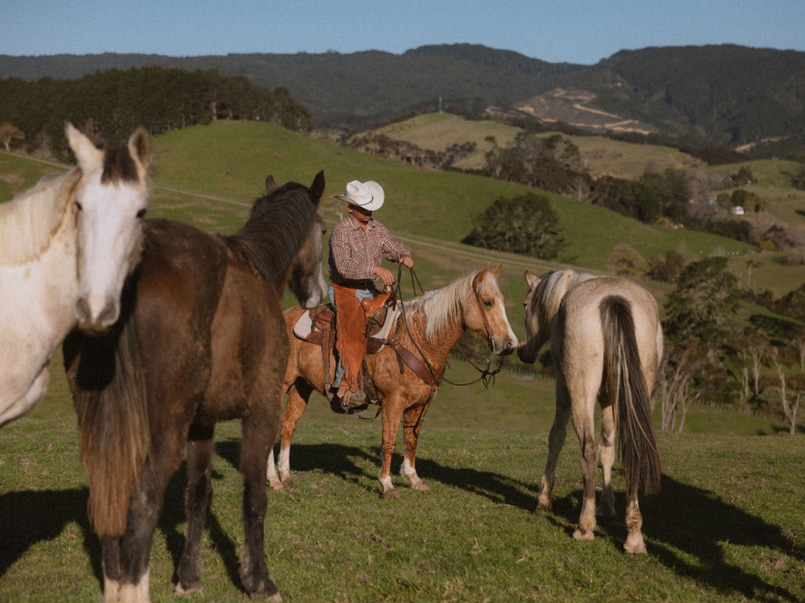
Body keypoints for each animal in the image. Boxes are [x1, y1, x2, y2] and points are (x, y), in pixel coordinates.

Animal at [63, 171, 327, 602]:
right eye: (322, 229)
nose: (318, 294)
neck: (257, 273)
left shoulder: (201, 425)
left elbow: (198, 496)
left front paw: (188, 576)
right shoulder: (262, 412)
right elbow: (255, 496)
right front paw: (259, 580)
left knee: (109, 495)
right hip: (163, 430)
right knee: (142, 503)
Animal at [267, 265, 518, 499]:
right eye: (487, 302)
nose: (510, 344)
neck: (418, 340)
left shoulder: (420, 405)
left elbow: (411, 440)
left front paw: (413, 479)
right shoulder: (393, 402)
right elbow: (389, 442)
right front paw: (387, 485)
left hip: (301, 385)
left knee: (288, 425)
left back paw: (286, 475)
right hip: (281, 384)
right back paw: (273, 480)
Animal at [517, 268, 663, 554]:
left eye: (526, 305)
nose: (523, 353)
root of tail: (614, 299)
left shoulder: (563, 389)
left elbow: (557, 437)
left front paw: (543, 498)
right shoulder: (608, 400)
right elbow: (608, 449)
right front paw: (607, 506)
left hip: (580, 393)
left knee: (587, 449)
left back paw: (585, 526)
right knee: (631, 452)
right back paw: (634, 536)